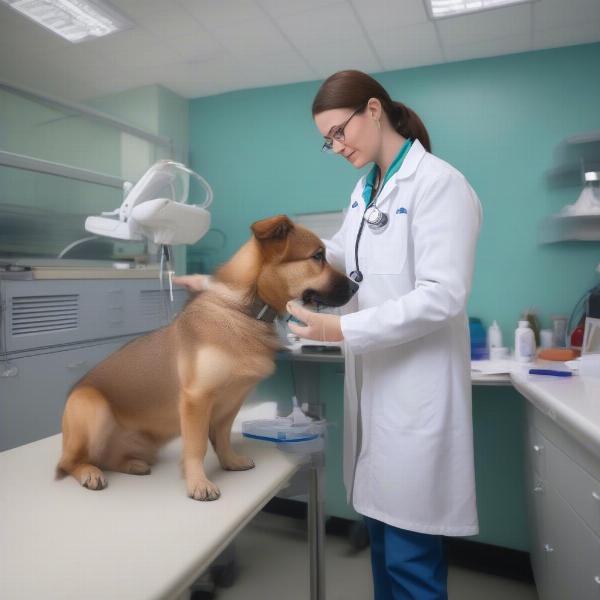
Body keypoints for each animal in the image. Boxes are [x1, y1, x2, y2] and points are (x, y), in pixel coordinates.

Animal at [56, 216, 356, 502]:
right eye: (318, 256)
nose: (356, 284)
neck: (244, 310)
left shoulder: (231, 402)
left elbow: (221, 438)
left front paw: (230, 462)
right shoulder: (196, 399)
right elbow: (197, 445)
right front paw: (198, 483)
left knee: (106, 459)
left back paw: (131, 464)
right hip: (91, 405)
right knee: (70, 462)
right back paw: (89, 473)